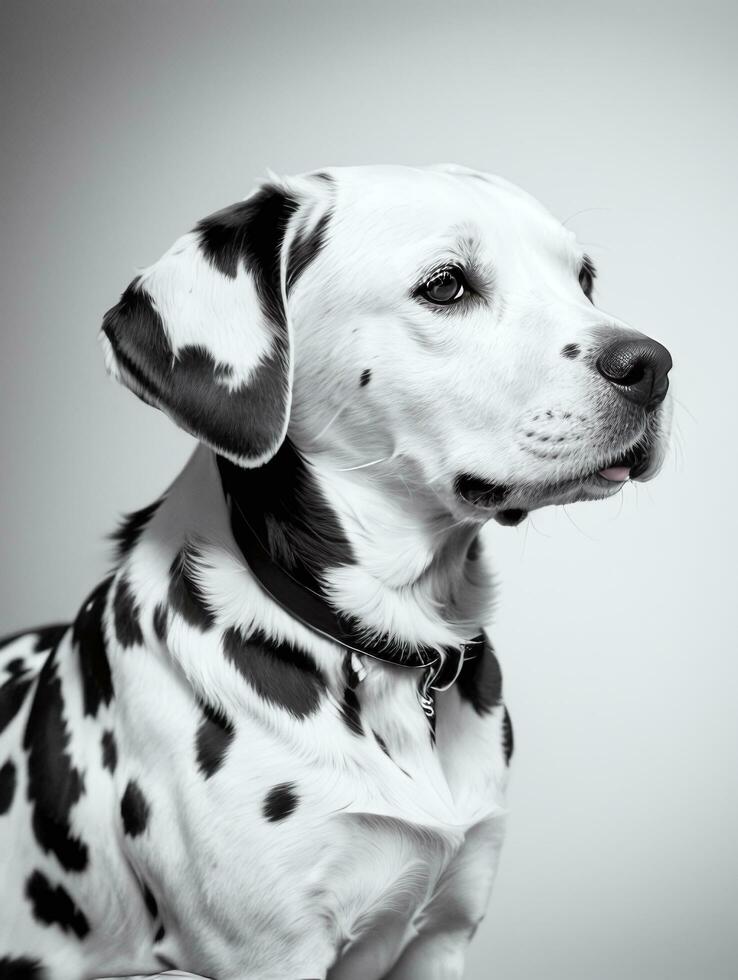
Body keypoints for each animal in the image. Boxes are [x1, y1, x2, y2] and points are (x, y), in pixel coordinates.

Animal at [0, 165, 668, 976]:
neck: (394, 649)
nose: (653, 366)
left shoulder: (444, 937)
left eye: (584, 279)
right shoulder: (272, 955)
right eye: (447, 285)